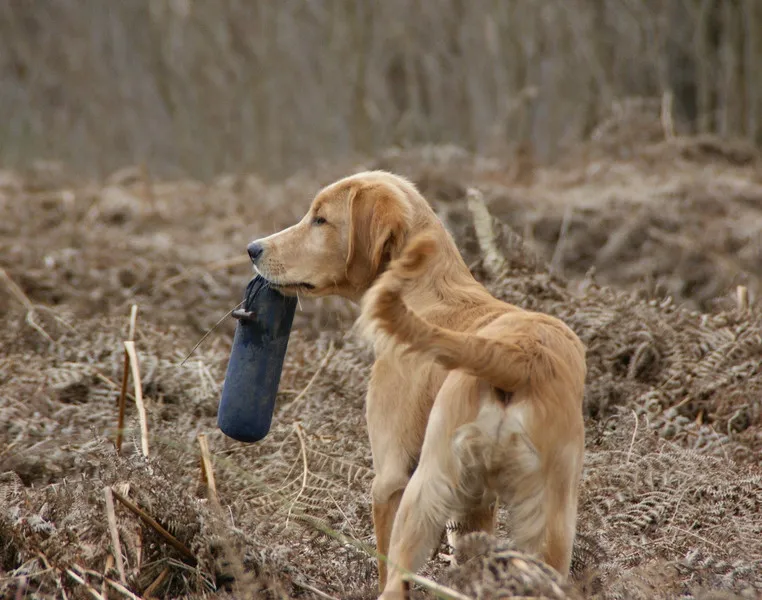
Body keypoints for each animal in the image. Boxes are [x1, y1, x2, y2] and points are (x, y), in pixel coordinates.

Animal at [247, 171, 587, 599]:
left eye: (320, 219)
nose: (252, 248)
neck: (428, 291)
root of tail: (519, 354)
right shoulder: (476, 505)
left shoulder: (390, 478)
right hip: (549, 524)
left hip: (423, 493)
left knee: (394, 582)